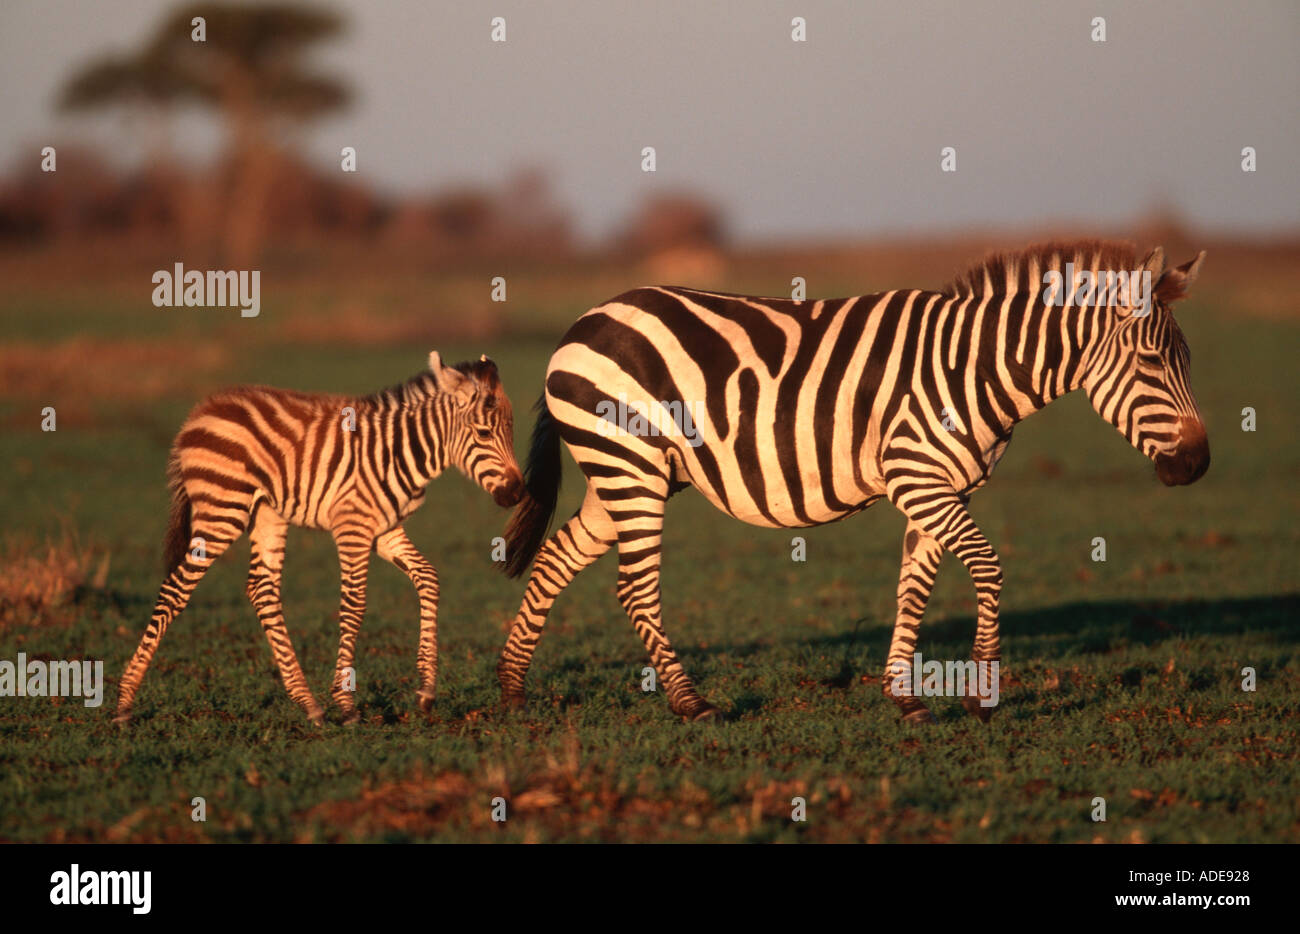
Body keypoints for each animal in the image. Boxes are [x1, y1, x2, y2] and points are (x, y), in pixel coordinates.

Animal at [114, 352, 524, 726]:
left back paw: (308, 703)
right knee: (175, 590)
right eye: (484, 433)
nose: (517, 493)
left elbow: (428, 578)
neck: (400, 453)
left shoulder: (386, 531)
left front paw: (425, 690)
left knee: (262, 589)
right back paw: (124, 704)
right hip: (222, 509)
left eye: (510, 431)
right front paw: (346, 704)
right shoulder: (352, 526)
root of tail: (199, 412)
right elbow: (354, 606)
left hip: (266, 514)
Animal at [497, 241, 1209, 723]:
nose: (1198, 465)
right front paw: (982, 693)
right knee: (634, 587)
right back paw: (690, 702)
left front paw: (905, 698)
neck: (975, 367)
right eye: (1152, 362)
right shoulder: (918, 478)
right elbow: (987, 566)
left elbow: (914, 588)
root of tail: (583, 322)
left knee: (557, 560)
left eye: (1187, 359)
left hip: (626, 475)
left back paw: (512, 687)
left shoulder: (944, 486)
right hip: (631, 469)